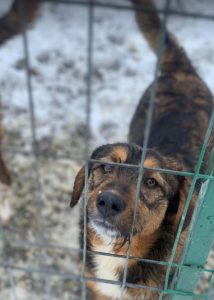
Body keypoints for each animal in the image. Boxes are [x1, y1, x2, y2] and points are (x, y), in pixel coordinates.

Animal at [69, 0, 214, 298]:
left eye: (151, 183)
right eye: (107, 166)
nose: (108, 201)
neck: (117, 252)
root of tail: (181, 70)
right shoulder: (95, 288)